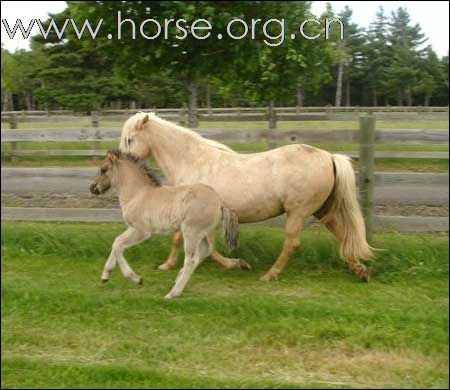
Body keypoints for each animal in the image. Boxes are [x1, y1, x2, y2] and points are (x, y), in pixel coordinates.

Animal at [118, 112, 372, 280]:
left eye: (130, 139)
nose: (121, 165)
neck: (192, 161)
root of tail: (328, 156)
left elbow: (198, 245)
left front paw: (236, 264)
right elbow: (194, 244)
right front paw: (168, 265)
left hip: (297, 213)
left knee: (292, 243)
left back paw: (270, 275)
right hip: (321, 210)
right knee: (342, 235)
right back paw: (360, 271)